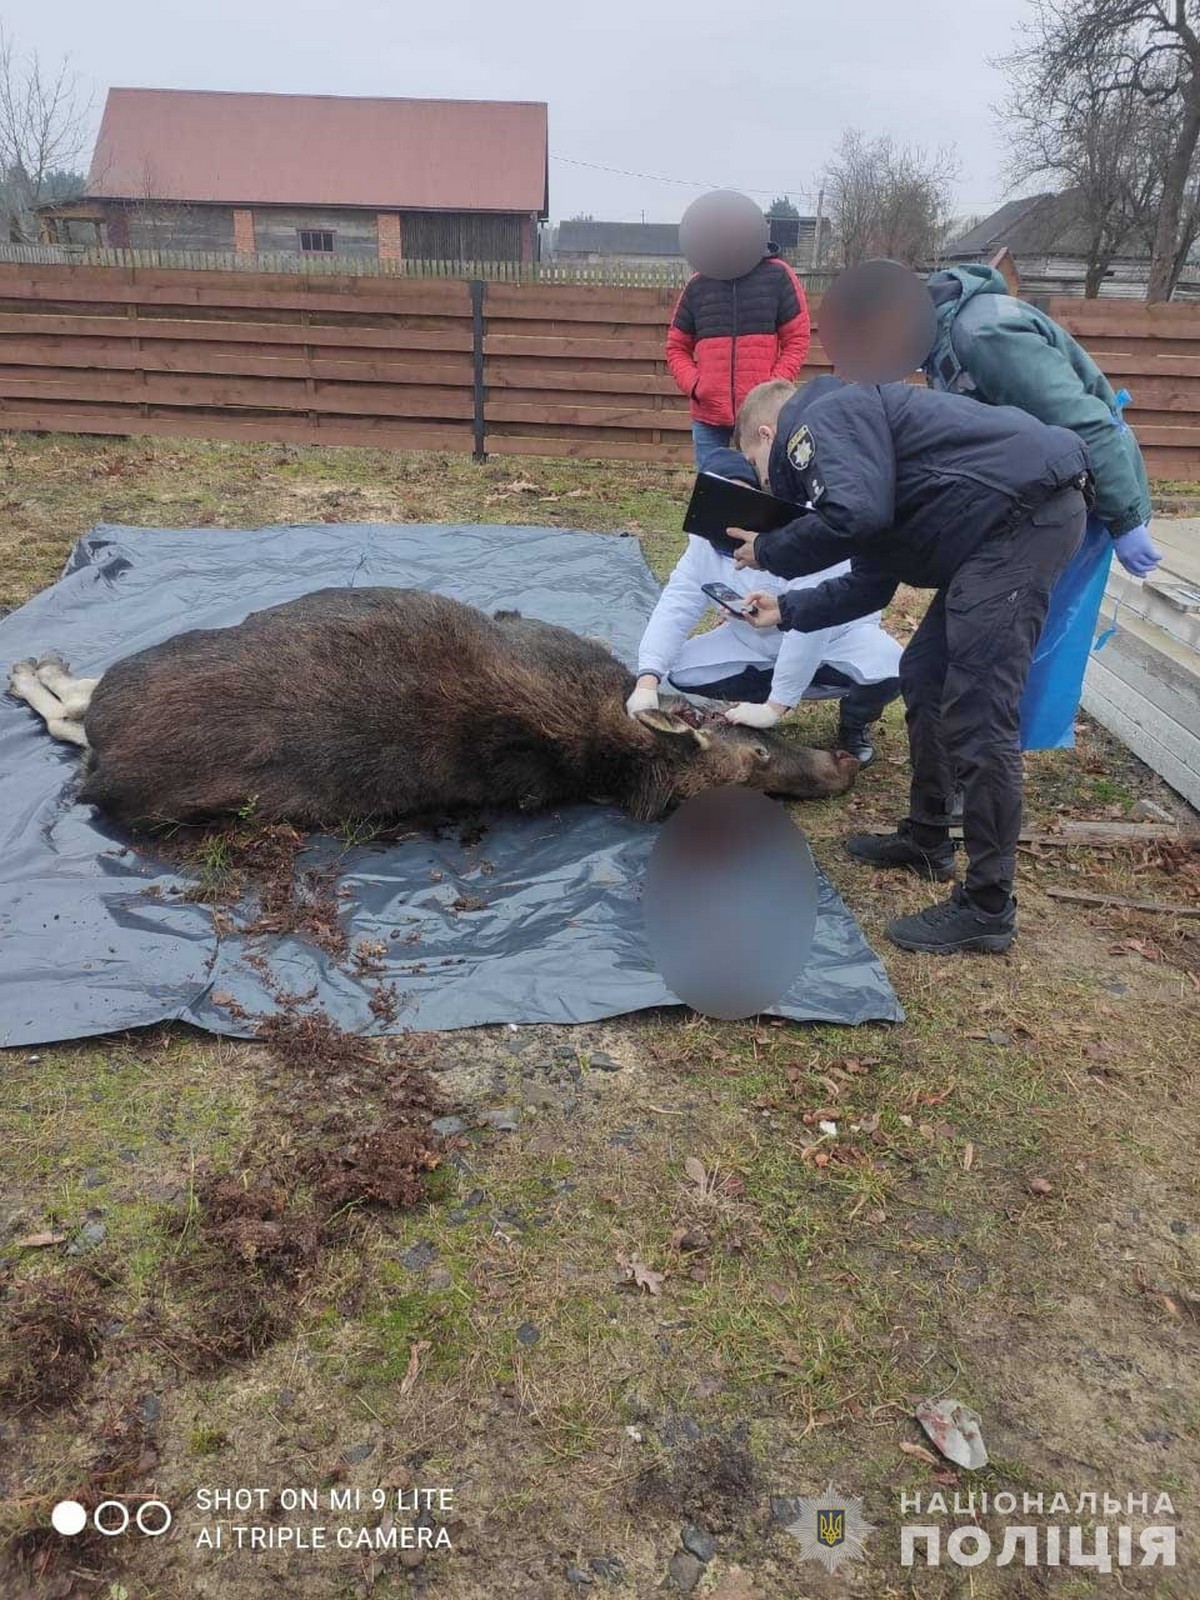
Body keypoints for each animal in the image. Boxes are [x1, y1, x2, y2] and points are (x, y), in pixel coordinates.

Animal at [4, 592, 857, 838]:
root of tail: (111, 768)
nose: (844, 763)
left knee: (75, 716)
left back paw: (34, 672)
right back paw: (35, 668)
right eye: (757, 757)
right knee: (78, 708)